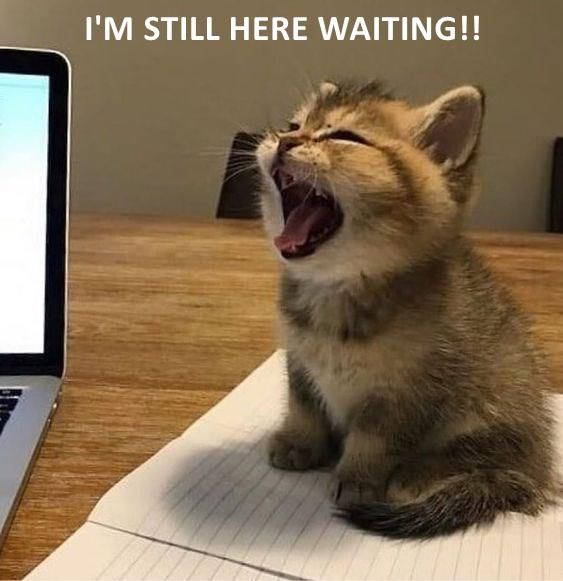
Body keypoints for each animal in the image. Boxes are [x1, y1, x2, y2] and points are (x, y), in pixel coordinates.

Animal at [256, 79, 560, 536]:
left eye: (345, 137)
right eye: (294, 125)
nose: (285, 140)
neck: (338, 292)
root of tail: (539, 470)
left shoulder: (409, 391)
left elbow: (375, 438)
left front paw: (357, 478)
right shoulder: (299, 358)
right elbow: (303, 403)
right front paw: (299, 442)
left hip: (492, 402)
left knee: (487, 462)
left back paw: (418, 475)